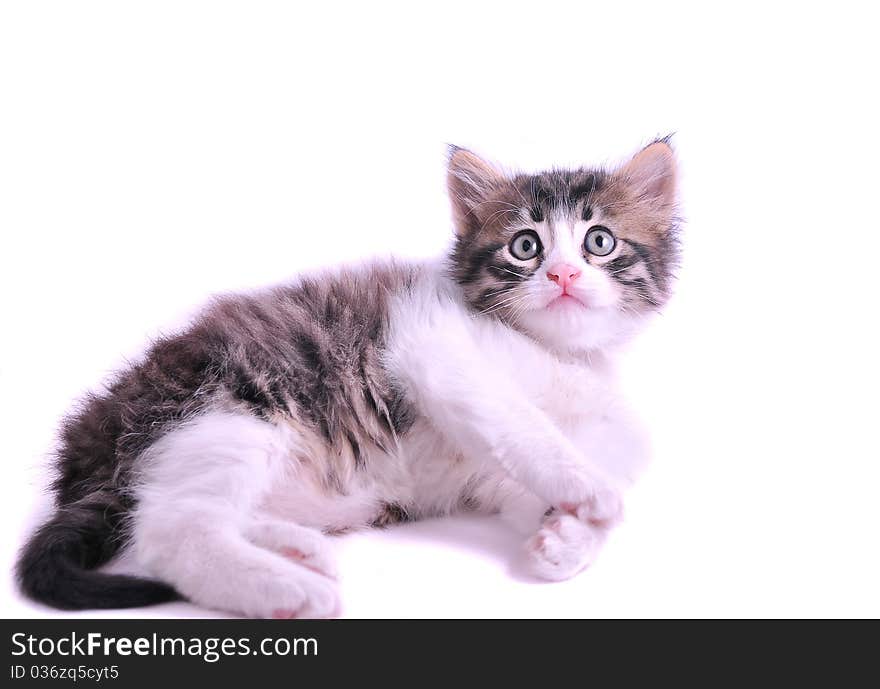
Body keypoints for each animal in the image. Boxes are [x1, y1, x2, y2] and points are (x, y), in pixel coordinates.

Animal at [15, 141, 680, 620]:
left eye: (599, 241)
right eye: (525, 246)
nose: (564, 274)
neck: (556, 352)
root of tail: (87, 447)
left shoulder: (513, 469)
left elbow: (562, 473)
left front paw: (566, 538)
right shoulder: (432, 343)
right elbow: (517, 422)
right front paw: (586, 489)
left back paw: (295, 549)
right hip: (227, 410)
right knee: (169, 532)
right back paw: (283, 588)